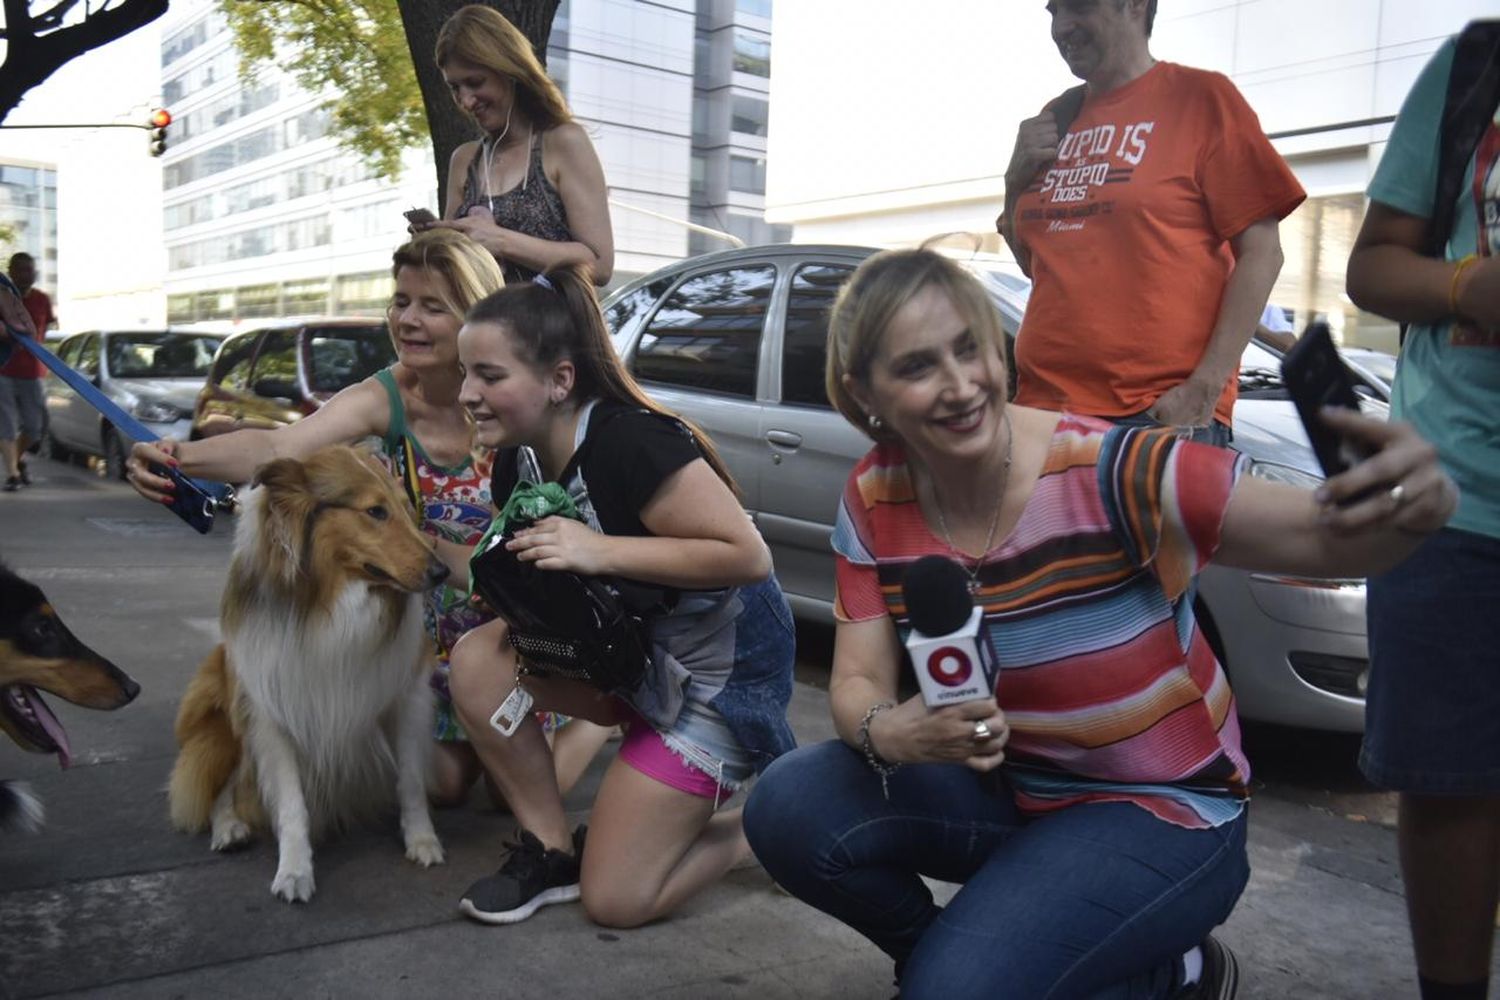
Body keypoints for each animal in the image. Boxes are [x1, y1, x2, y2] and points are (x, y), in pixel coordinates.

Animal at [170, 446, 447, 899]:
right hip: (224, 716)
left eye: (408, 509)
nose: (443, 572)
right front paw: (295, 871)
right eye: (375, 511)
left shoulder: (406, 694)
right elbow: (291, 804)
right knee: (221, 786)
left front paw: (422, 840)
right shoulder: (272, 712)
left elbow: (410, 780)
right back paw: (229, 828)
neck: (331, 605)